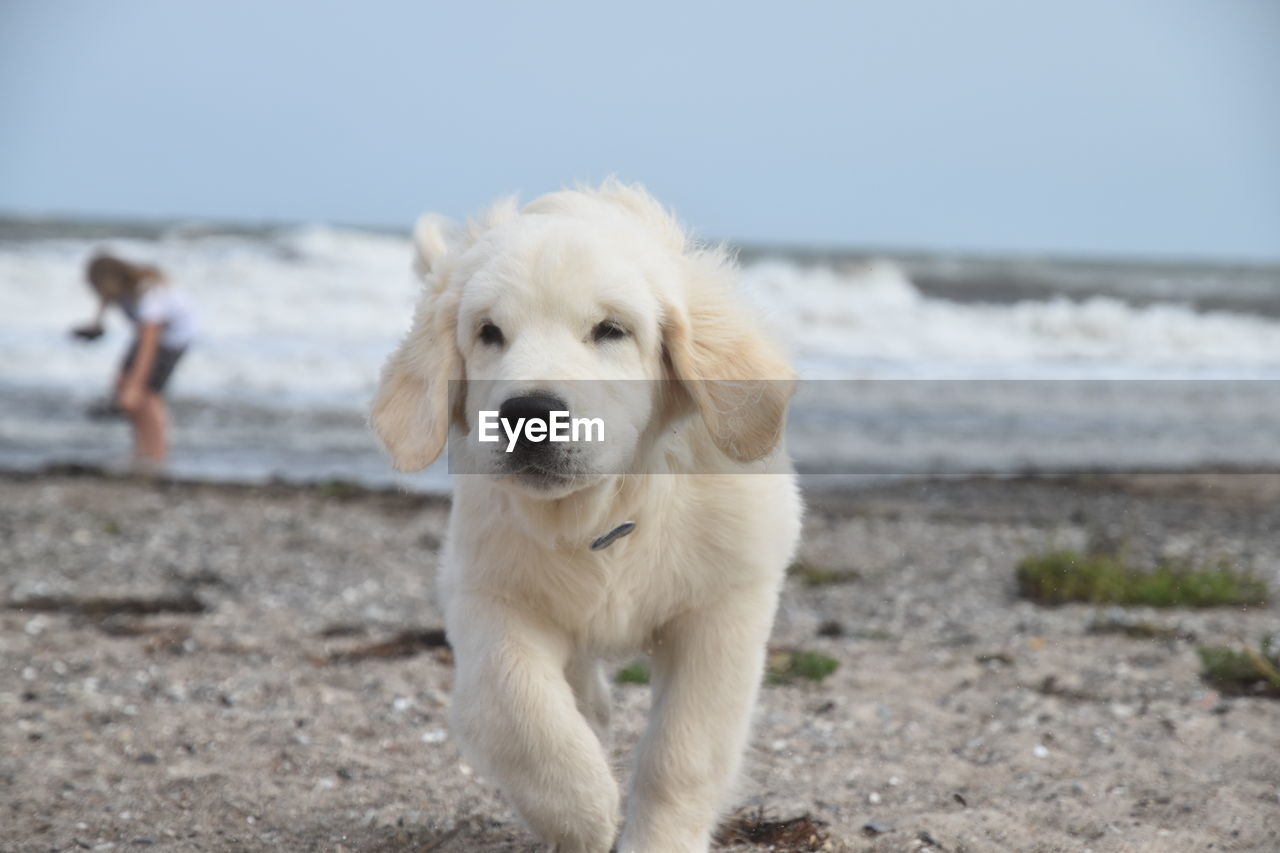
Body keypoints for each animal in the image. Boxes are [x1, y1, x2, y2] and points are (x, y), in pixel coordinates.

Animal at [366, 183, 798, 850]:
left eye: (610, 330)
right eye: (489, 332)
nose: (529, 413)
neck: (605, 517)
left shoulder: (724, 606)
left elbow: (685, 750)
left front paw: (658, 840)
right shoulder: (489, 594)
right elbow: (522, 712)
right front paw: (585, 812)